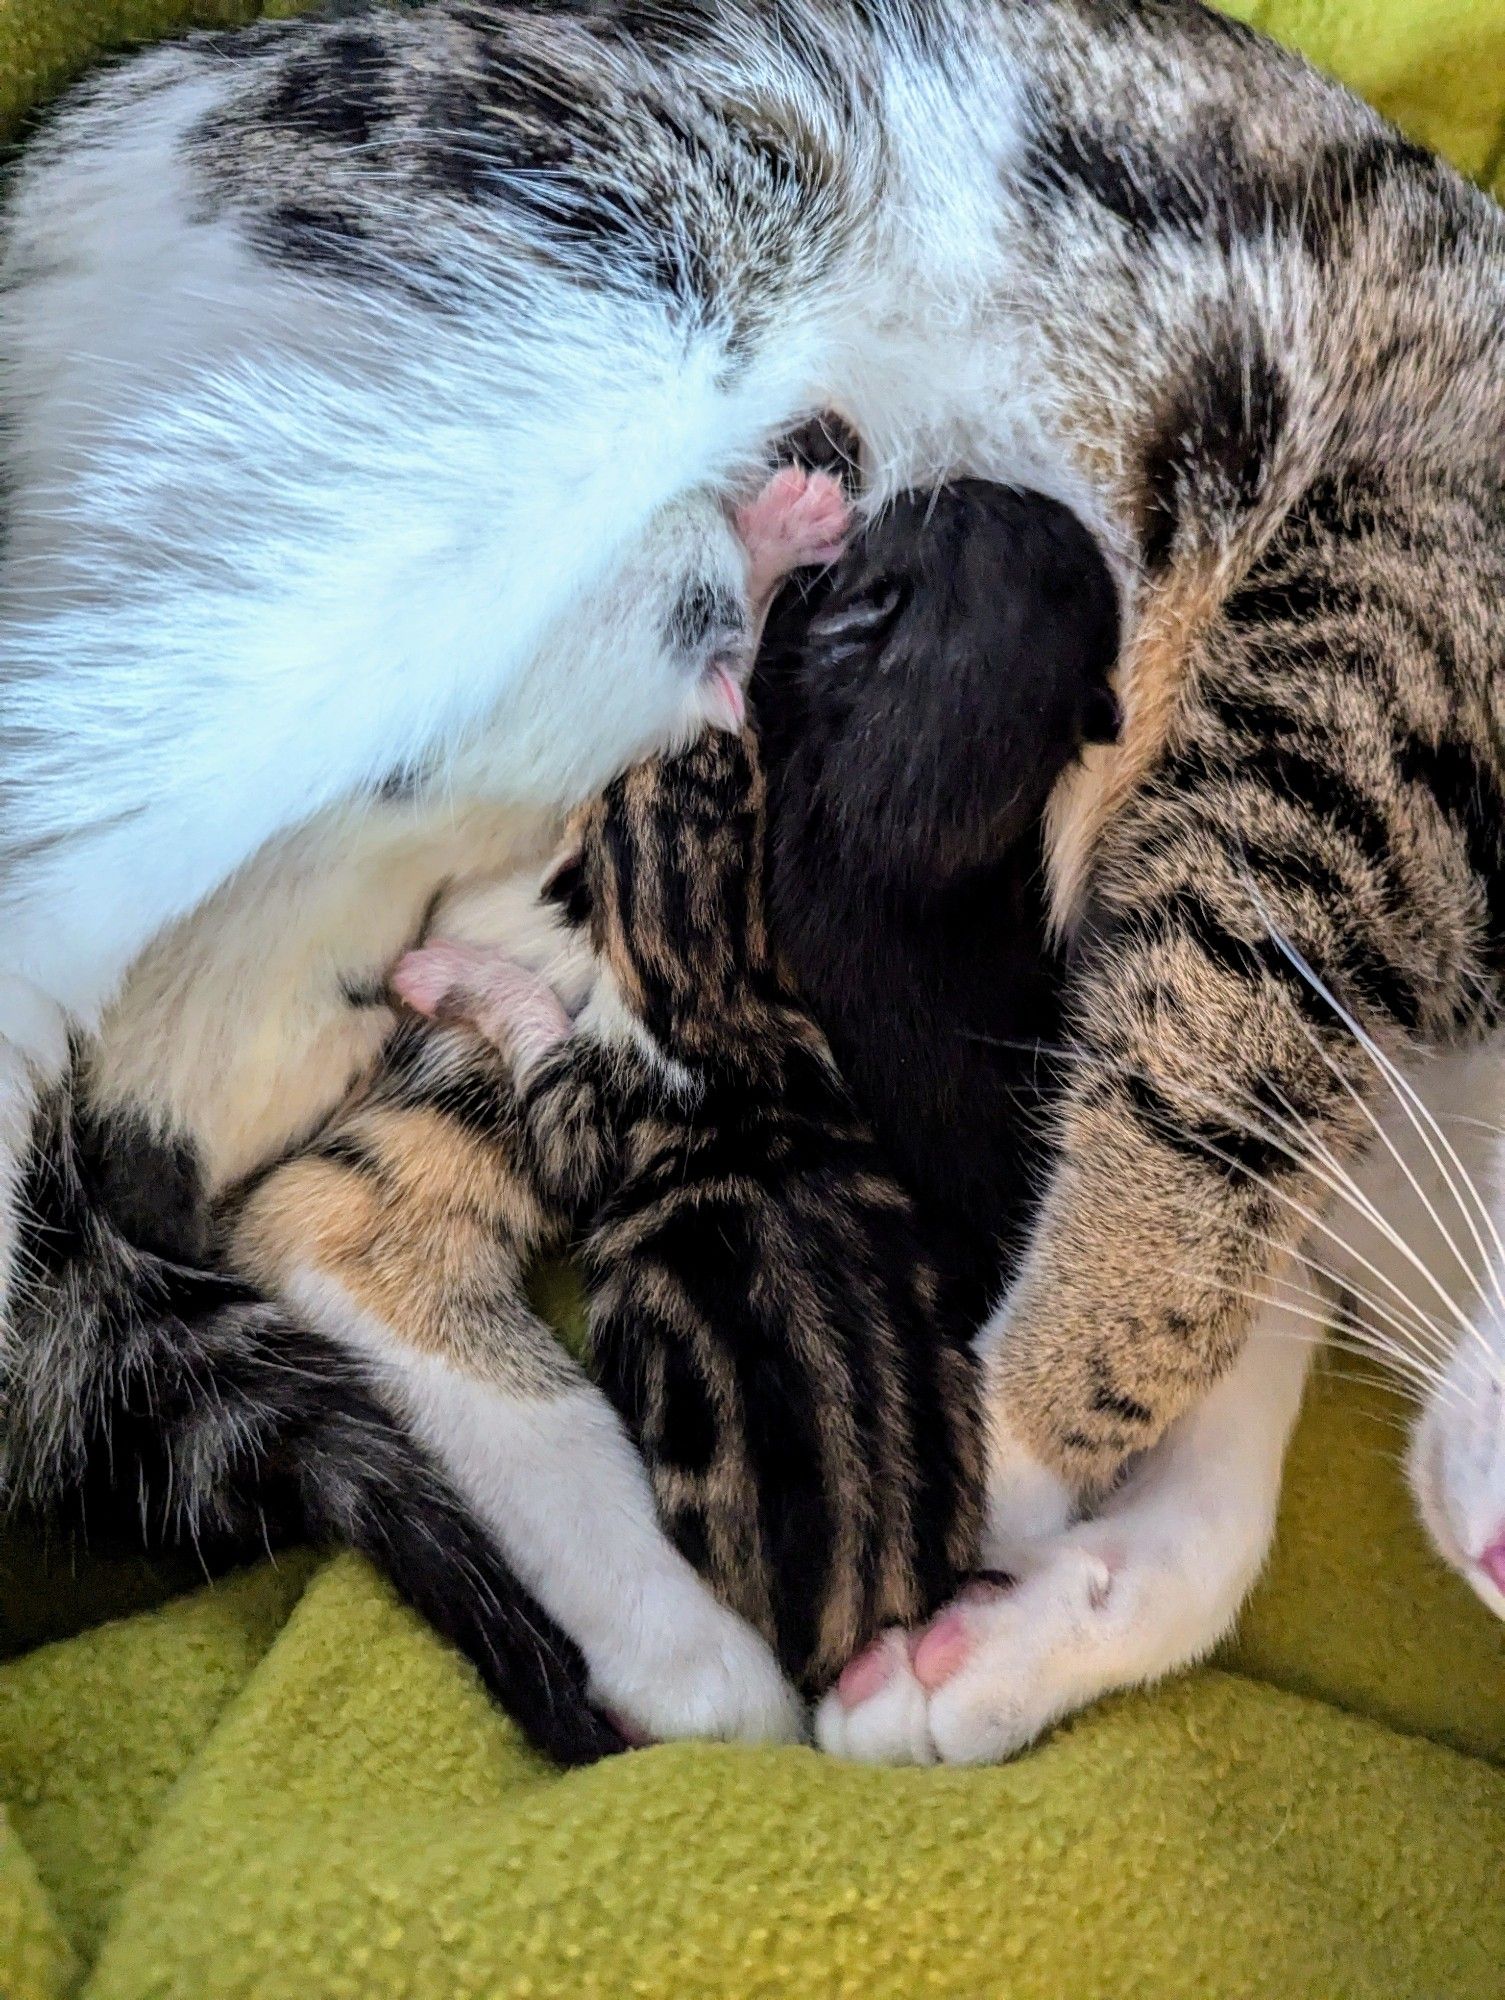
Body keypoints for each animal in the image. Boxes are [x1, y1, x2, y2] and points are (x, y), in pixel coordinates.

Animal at [2, 7, 1505, 1776]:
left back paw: (680, 1654)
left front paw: (1005, 1645)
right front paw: (995, 1470)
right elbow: (1204, 1110)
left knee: (325, 1211)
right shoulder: (1361, 661)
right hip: (469, 422)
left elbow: (1227, 1391)